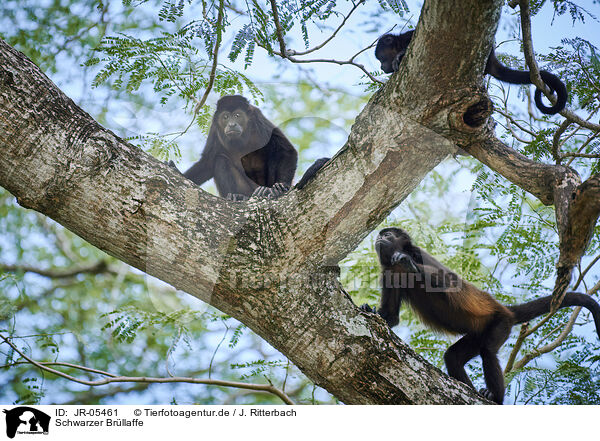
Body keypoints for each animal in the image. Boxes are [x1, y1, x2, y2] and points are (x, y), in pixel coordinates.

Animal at [360, 229, 600, 404]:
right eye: (381, 234)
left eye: (388, 235)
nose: (379, 237)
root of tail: (506, 310)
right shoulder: (388, 273)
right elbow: (391, 317)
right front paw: (371, 311)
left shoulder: (419, 254)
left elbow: (451, 284)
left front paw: (411, 266)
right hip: (478, 333)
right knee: (453, 357)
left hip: (499, 324)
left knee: (488, 352)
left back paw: (496, 398)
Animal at [376, 29, 568, 114]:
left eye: (380, 58)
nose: (381, 67)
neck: (399, 42)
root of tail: (491, 60)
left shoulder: (411, 36)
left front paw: (399, 56)